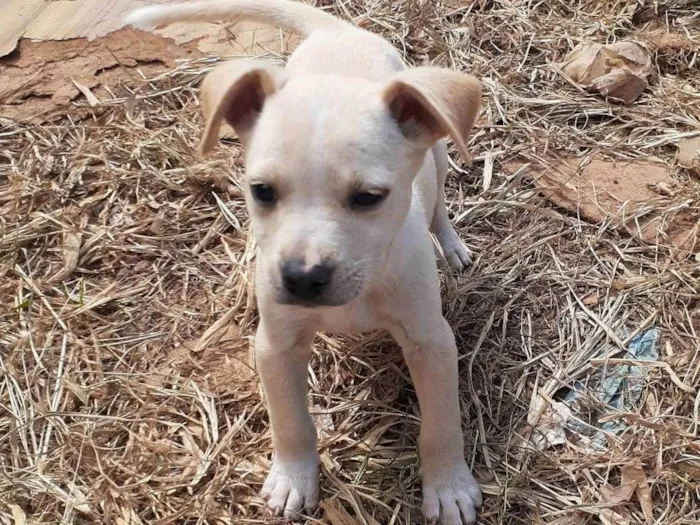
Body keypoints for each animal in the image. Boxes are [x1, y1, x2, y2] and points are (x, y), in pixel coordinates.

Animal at [126, 2, 484, 520]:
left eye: (369, 198)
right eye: (261, 191)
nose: (301, 278)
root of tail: (339, 30)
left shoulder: (431, 343)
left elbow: (441, 424)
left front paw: (449, 487)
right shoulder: (276, 345)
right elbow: (290, 421)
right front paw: (293, 479)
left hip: (437, 150)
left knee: (438, 203)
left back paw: (451, 244)